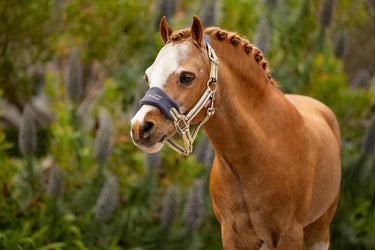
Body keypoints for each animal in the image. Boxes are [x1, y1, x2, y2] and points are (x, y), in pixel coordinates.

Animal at [131, 16, 342, 249]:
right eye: (148, 77)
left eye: (187, 76)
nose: (140, 127)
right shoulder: (233, 235)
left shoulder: (290, 235)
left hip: (320, 228)